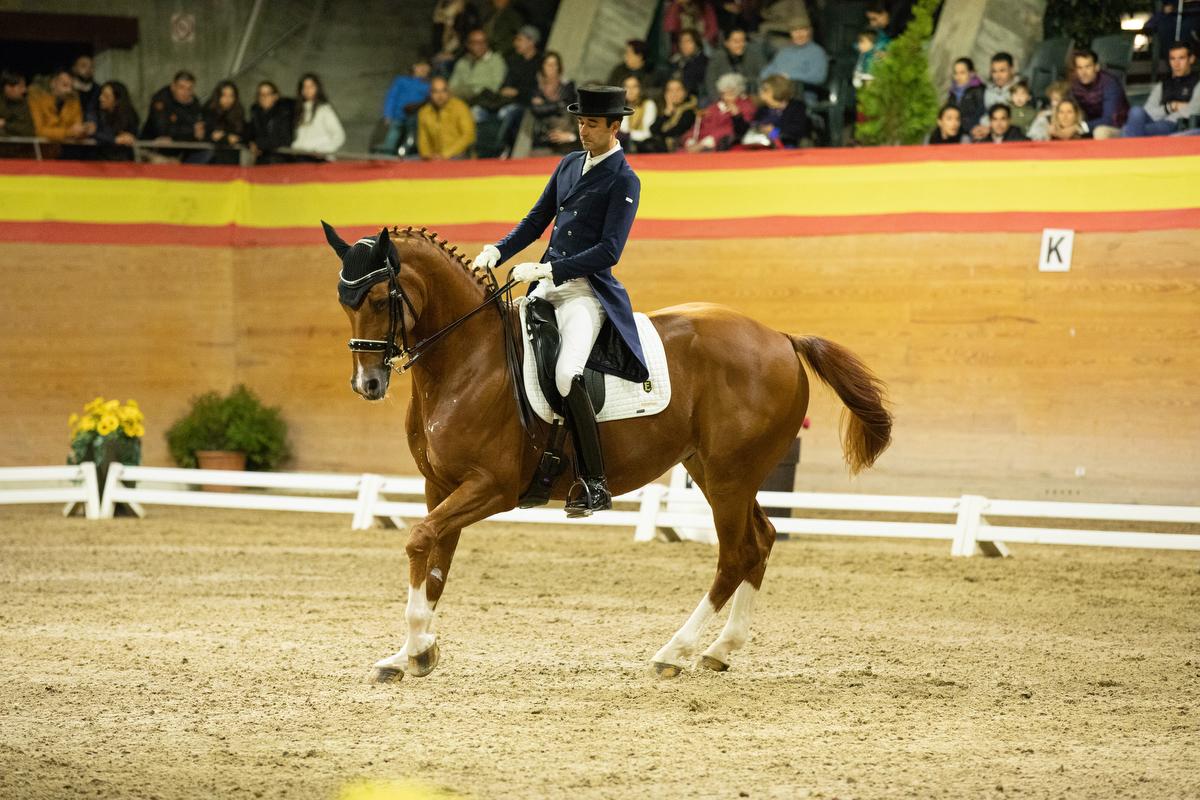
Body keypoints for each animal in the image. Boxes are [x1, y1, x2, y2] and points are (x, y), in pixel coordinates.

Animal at [326, 225, 892, 681]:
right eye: (345, 301)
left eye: (378, 298)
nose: (367, 384)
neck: (468, 359)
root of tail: (780, 337)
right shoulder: (439, 485)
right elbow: (436, 563)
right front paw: (412, 653)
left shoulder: (491, 487)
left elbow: (419, 541)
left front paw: (416, 647)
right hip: (716, 471)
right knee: (764, 539)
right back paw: (720, 650)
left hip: (730, 476)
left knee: (736, 555)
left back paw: (674, 652)